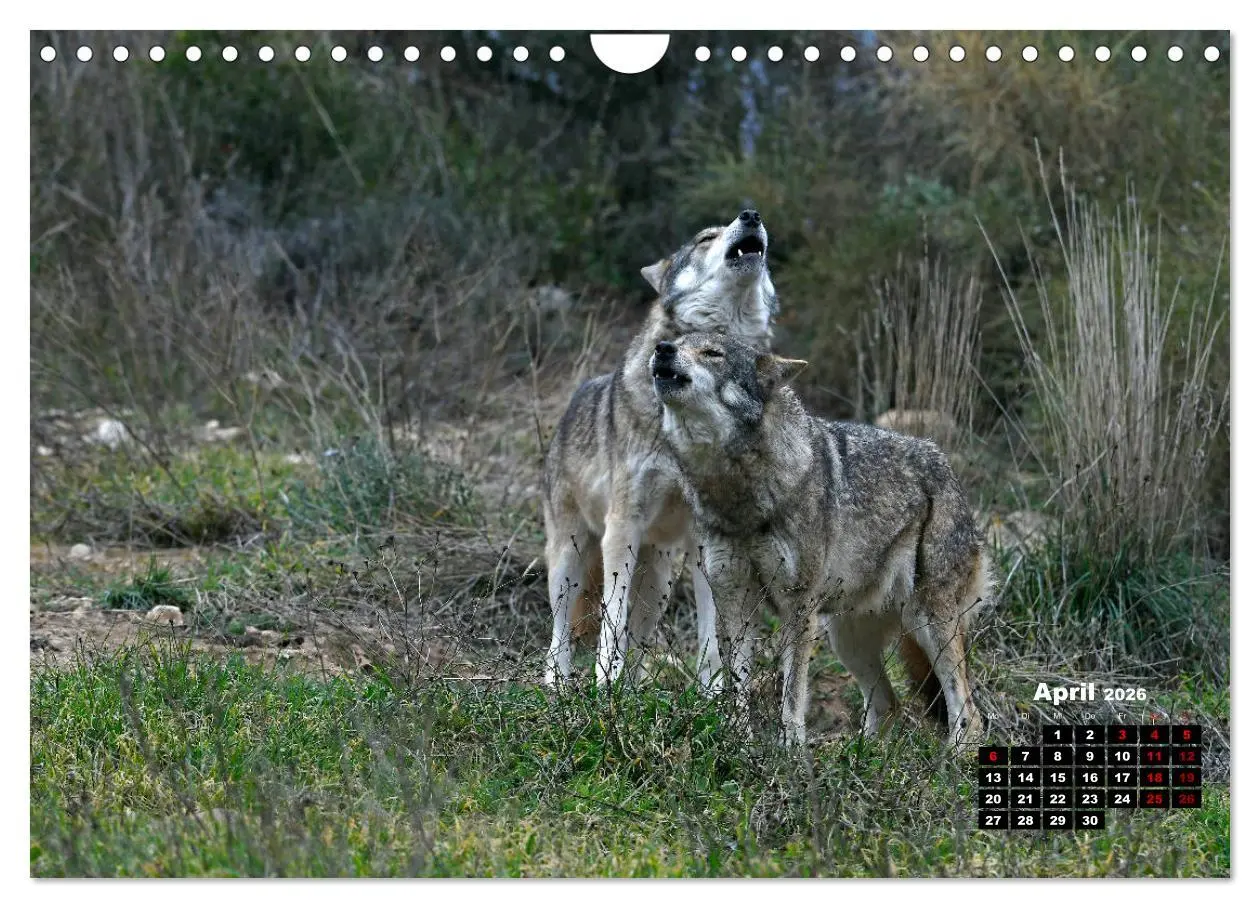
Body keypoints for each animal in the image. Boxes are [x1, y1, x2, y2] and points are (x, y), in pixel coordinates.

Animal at [542, 210, 778, 688]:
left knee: (640, 634)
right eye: (706, 238)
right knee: (559, 631)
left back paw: (633, 690)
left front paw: (712, 691)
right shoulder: (622, 527)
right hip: (569, 559)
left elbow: (710, 630)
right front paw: (603, 684)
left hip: (661, 580)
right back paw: (558, 685)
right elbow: (611, 619)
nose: (751, 215)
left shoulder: (708, 538)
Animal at [649, 332, 990, 747]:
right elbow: (737, 687)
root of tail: (947, 468)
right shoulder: (733, 600)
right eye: (677, 342)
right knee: (888, 706)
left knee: (968, 713)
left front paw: (790, 752)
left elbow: (793, 695)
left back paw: (950, 760)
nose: (662, 348)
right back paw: (858, 757)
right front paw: (738, 744)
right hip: (846, 640)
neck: (739, 496)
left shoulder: (797, 607)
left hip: (926, 620)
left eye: (713, 353)